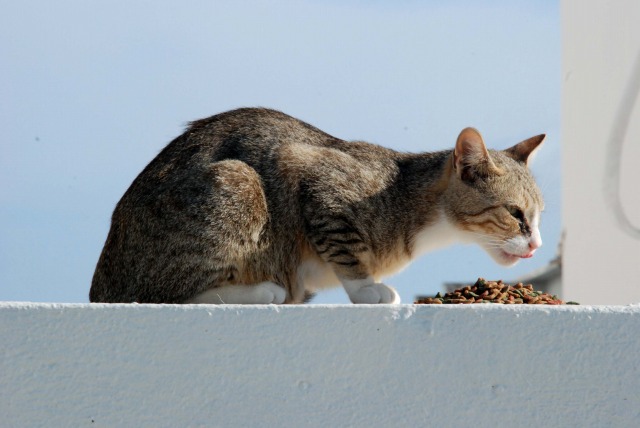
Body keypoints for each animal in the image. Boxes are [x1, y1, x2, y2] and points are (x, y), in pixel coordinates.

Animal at [90, 108, 544, 306]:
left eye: (539, 216)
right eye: (515, 214)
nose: (537, 244)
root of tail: (100, 286)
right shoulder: (310, 173)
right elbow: (345, 252)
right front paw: (366, 289)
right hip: (238, 180)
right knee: (162, 297)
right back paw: (262, 291)